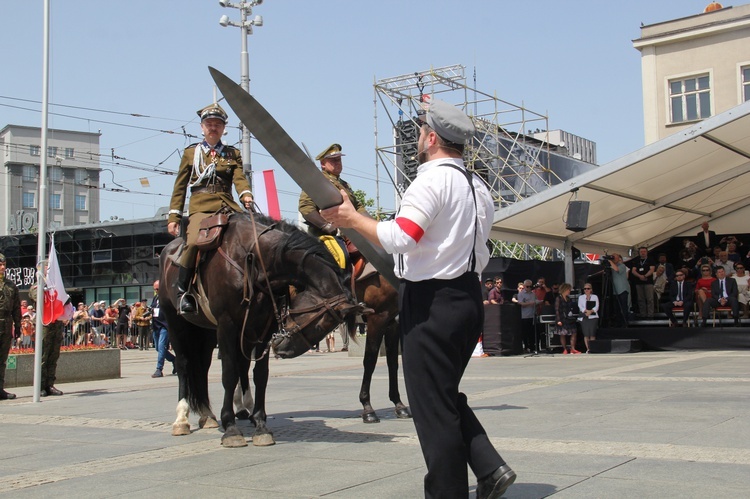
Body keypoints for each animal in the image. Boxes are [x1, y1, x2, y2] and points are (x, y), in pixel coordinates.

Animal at [161, 213, 364, 448]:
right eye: (321, 324)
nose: (283, 349)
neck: (255, 259)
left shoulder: (263, 326)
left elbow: (260, 374)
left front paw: (260, 424)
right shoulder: (227, 324)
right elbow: (229, 373)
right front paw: (230, 428)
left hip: (207, 330)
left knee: (205, 366)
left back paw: (209, 415)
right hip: (176, 323)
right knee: (184, 364)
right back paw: (181, 419)